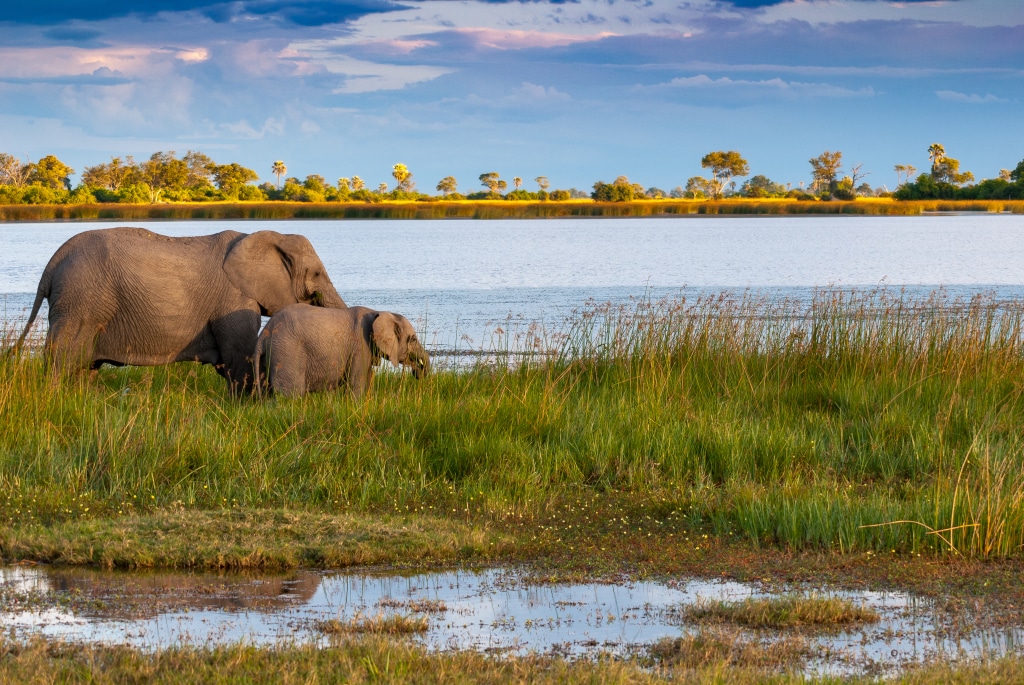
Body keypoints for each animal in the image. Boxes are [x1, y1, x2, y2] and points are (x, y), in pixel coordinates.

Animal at [14, 227, 348, 393]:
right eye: (316, 274)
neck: (268, 236)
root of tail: (51, 266)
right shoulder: (234, 298)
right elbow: (238, 357)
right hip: (80, 303)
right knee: (62, 360)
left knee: (85, 368)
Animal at [260, 303, 432, 397]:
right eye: (413, 339)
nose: (417, 374)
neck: (379, 312)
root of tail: (265, 332)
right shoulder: (360, 346)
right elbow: (357, 382)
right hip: (287, 352)